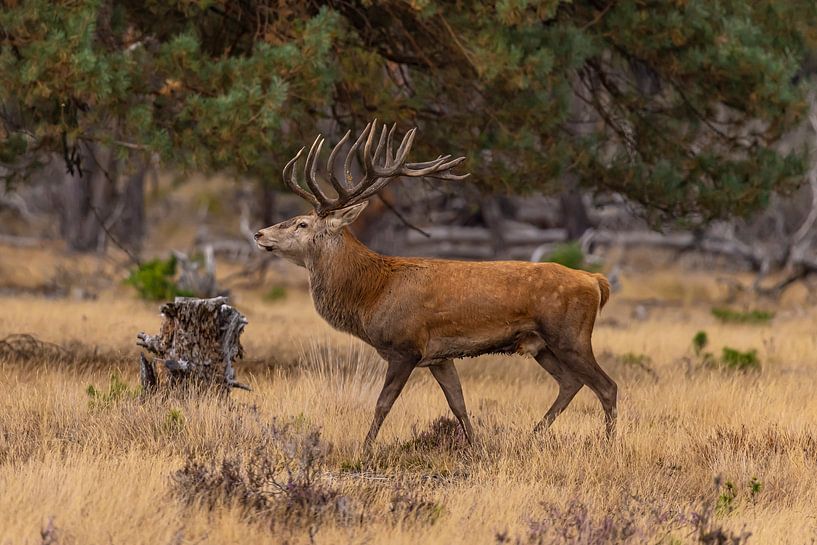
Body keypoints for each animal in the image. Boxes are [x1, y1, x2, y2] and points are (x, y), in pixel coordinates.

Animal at [254, 120, 617, 449]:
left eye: (302, 224)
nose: (259, 234)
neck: (372, 294)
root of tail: (596, 281)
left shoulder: (405, 346)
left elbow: (383, 403)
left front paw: (365, 449)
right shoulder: (440, 356)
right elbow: (458, 403)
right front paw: (476, 447)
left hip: (570, 335)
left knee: (606, 386)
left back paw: (608, 445)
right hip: (541, 344)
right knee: (570, 383)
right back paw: (532, 436)